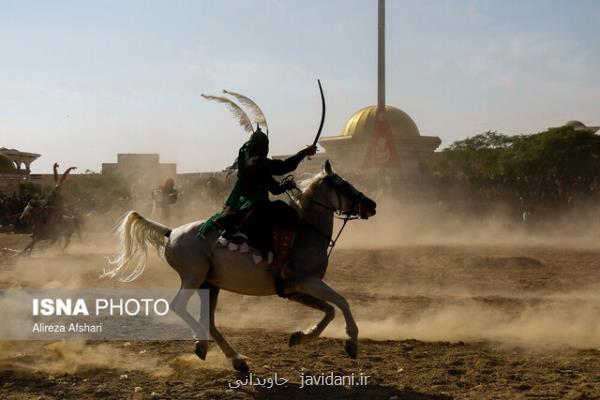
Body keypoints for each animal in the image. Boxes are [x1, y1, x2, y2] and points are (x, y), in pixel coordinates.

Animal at [103, 161, 376, 374]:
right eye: (343, 185)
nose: (372, 205)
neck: (306, 233)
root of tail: (171, 233)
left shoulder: (296, 291)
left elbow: (329, 310)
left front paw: (301, 337)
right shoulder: (309, 282)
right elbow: (341, 302)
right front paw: (352, 341)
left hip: (209, 286)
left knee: (209, 321)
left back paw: (234, 359)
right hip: (194, 277)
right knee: (179, 307)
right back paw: (205, 345)